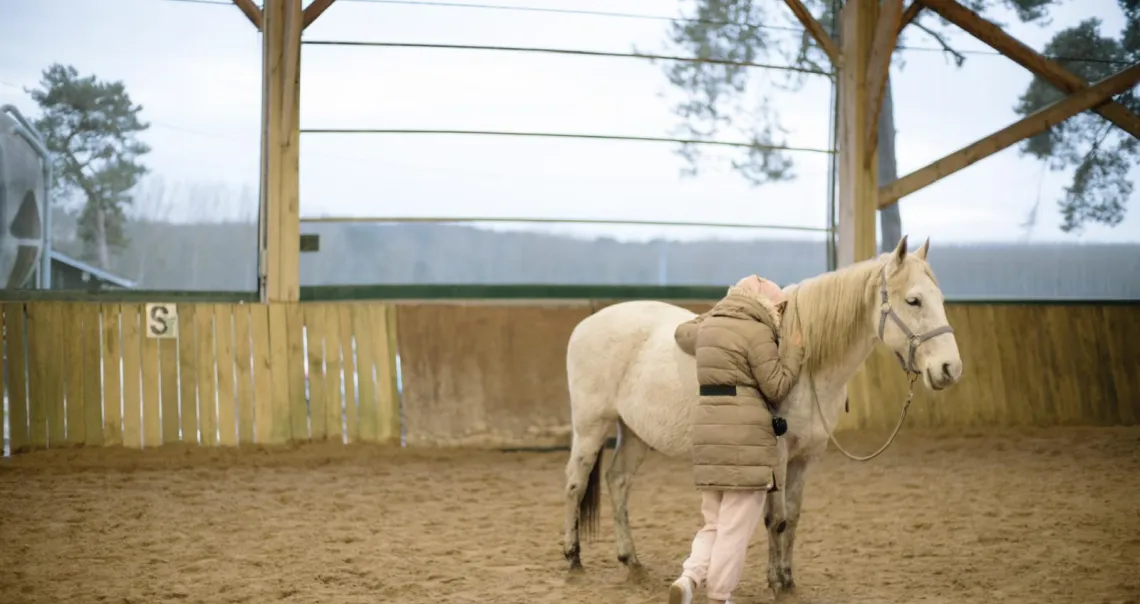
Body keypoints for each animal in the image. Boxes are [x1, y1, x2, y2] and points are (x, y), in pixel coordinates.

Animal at [560, 235, 963, 595]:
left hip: (636, 433)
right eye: (913, 300)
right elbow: (777, 519)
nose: (950, 369)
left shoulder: (807, 457)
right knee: (575, 484)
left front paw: (788, 580)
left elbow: (794, 518)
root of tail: (586, 324)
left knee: (618, 482)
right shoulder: (778, 456)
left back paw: (632, 564)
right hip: (591, 426)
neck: (808, 366)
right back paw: (573, 560)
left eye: (940, 299)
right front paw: (776, 584)